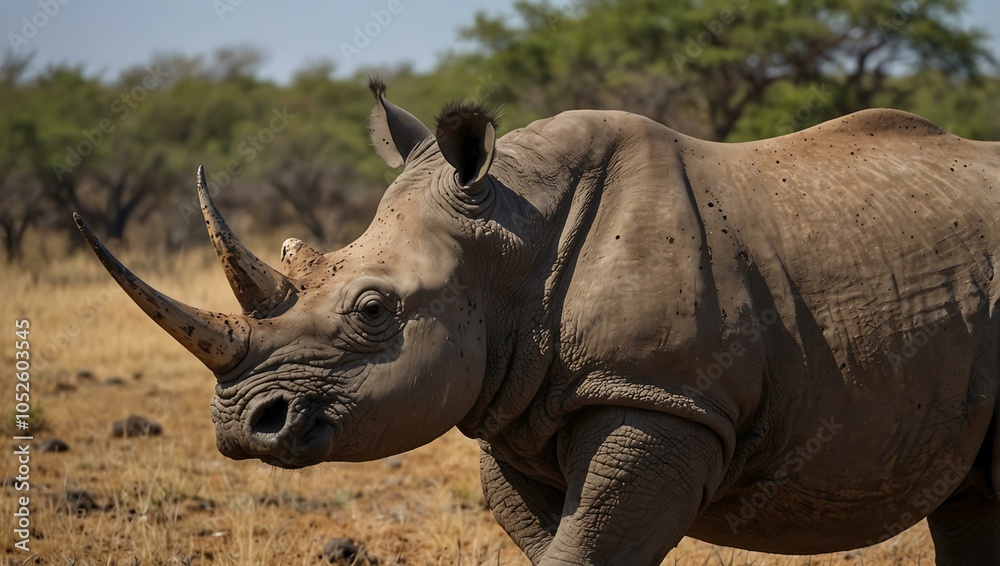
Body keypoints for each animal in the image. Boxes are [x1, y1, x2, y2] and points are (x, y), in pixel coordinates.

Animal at [76, 78, 1000, 565]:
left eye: (372, 310)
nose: (242, 424)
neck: (513, 236)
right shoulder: (515, 403)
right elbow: (552, 542)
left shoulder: (661, 394)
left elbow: (587, 545)